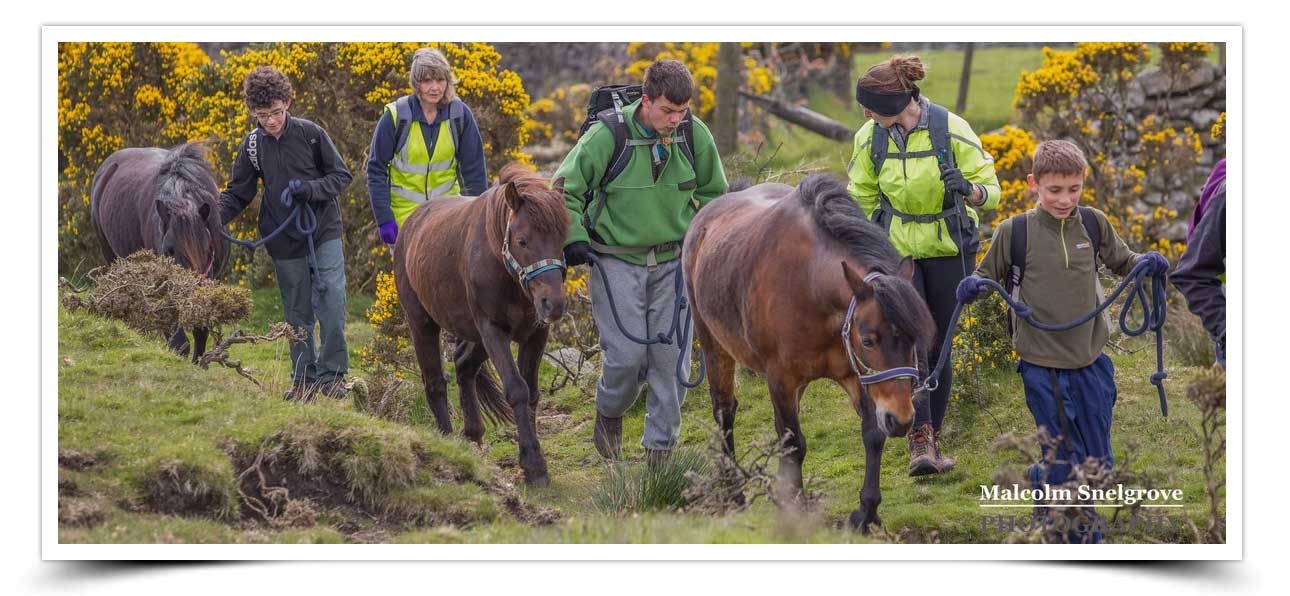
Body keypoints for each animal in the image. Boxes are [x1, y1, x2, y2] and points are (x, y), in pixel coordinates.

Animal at [394, 163, 569, 486]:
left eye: (562, 237)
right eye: (522, 240)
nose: (554, 304)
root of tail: (412, 222)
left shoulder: (535, 333)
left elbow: (532, 393)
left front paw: (533, 461)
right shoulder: (493, 330)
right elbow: (517, 389)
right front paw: (534, 465)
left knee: (464, 365)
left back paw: (473, 434)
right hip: (422, 323)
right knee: (435, 383)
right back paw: (447, 445)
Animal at [682, 174, 935, 532]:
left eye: (915, 339)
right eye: (868, 340)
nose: (901, 419)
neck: (810, 284)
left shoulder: (856, 375)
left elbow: (871, 436)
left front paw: (866, 513)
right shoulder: (781, 378)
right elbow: (793, 443)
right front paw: (795, 510)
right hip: (715, 347)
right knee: (724, 412)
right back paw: (733, 492)